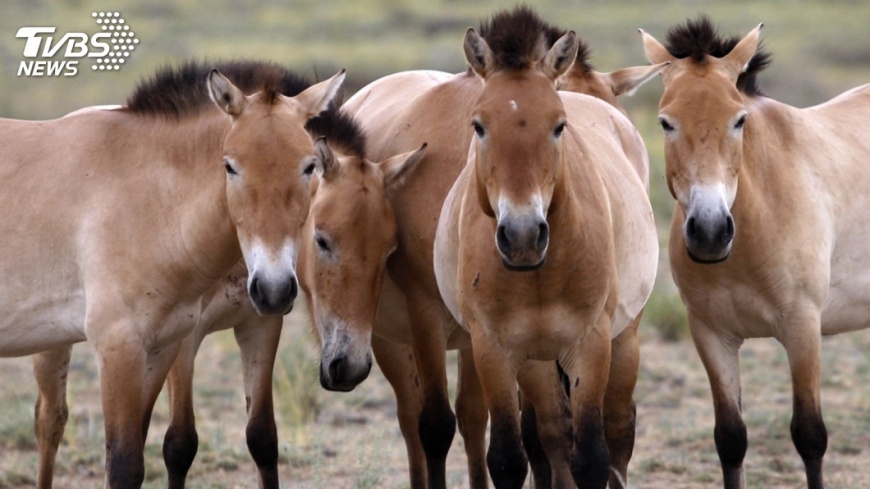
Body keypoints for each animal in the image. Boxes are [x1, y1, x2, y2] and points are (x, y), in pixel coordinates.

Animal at [6, 60, 345, 488]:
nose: (272, 289)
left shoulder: (164, 346)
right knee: (49, 420)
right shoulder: (119, 348)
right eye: (230, 167)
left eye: (309, 166)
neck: (147, 201)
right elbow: (127, 463)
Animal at [307, 7, 662, 488]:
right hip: (395, 340)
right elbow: (441, 427)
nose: (524, 233)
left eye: (560, 125)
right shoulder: (438, 323)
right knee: (416, 420)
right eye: (479, 126)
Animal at [640, 17, 870, 489]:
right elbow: (730, 438)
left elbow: (810, 436)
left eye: (739, 120)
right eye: (666, 122)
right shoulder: (712, 335)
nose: (710, 231)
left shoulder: (803, 328)